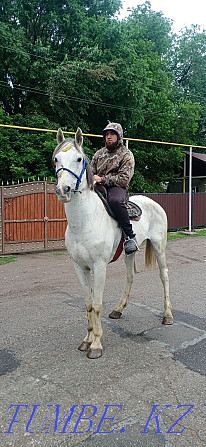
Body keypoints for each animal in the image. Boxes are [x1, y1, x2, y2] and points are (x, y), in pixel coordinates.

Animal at [54, 128, 173, 358]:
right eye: (56, 159)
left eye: (79, 158)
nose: (63, 190)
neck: (84, 222)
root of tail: (155, 203)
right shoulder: (79, 267)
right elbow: (88, 303)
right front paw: (86, 339)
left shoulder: (99, 267)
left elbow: (97, 304)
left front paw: (96, 345)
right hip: (130, 253)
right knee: (130, 277)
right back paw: (118, 309)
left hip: (159, 247)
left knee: (164, 277)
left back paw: (168, 315)